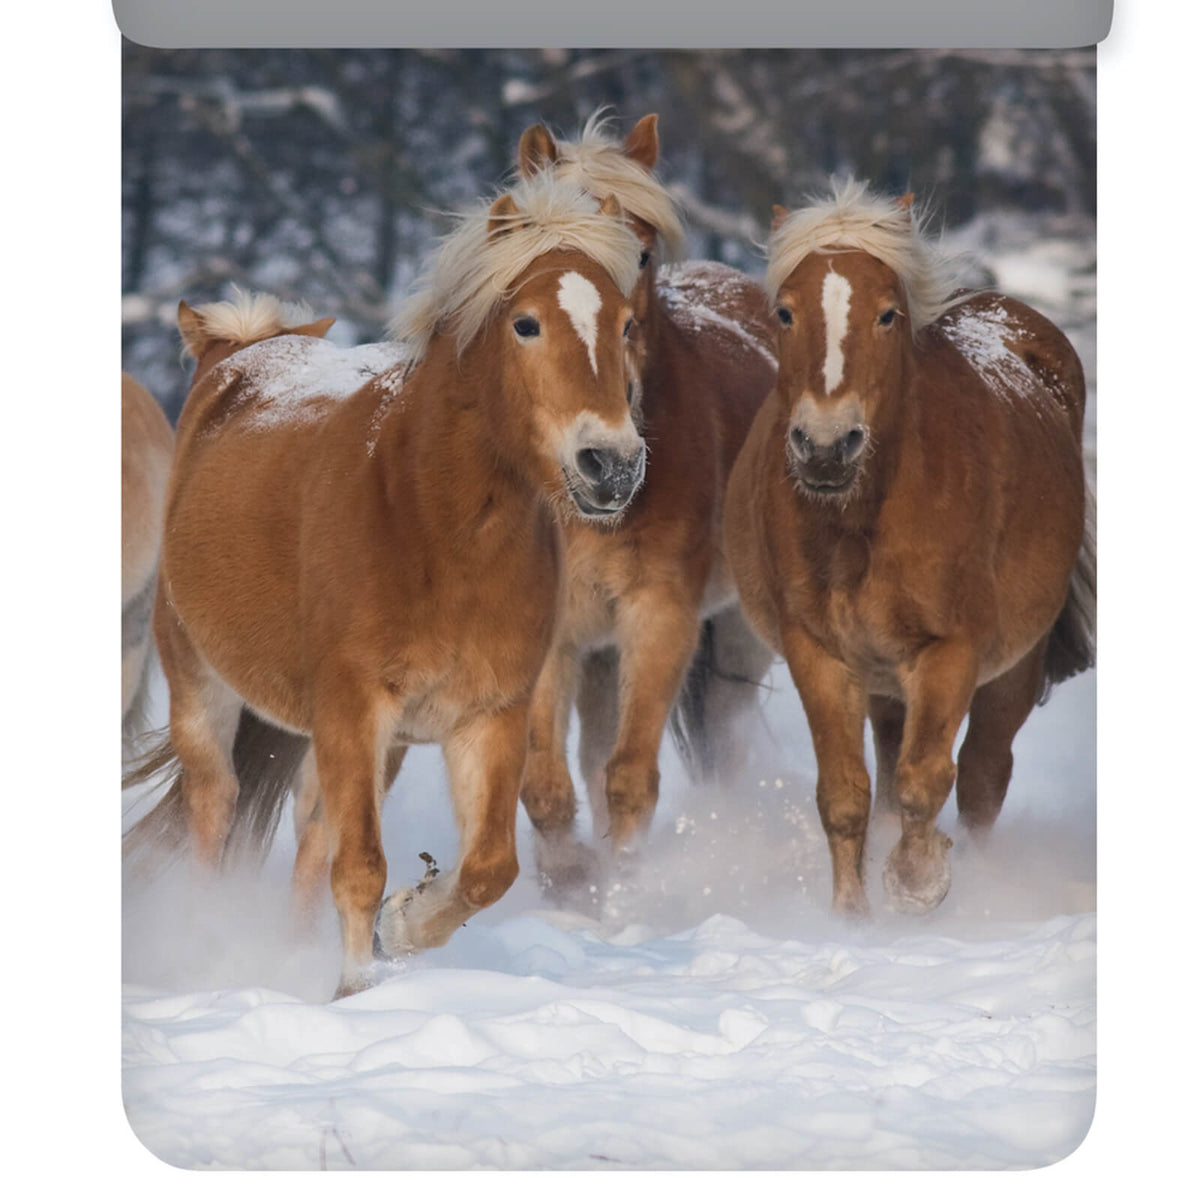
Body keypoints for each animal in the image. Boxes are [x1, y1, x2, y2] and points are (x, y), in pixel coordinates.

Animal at [123, 177, 645, 997]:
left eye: (626, 325)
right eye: (526, 324)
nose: (612, 465)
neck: (430, 525)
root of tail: (235, 352)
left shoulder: (484, 717)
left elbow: (487, 868)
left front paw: (400, 929)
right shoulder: (354, 708)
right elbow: (362, 867)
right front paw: (362, 980)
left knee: (311, 837)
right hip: (202, 688)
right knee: (215, 809)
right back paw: (203, 949)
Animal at [512, 111, 778, 892]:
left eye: (643, 252)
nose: (612, 460)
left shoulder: (660, 616)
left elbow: (630, 779)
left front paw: (625, 890)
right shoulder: (557, 634)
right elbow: (547, 784)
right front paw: (570, 882)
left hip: (739, 637)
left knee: (721, 737)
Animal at [724, 180, 1095, 917]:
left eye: (888, 315)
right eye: (784, 312)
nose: (826, 446)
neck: (864, 523)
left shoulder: (950, 651)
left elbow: (929, 780)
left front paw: (918, 883)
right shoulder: (820, 653)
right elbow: (847, 796)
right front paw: (853, 919)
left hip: (1014, 666)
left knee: (981, 777)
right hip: (885, 683)